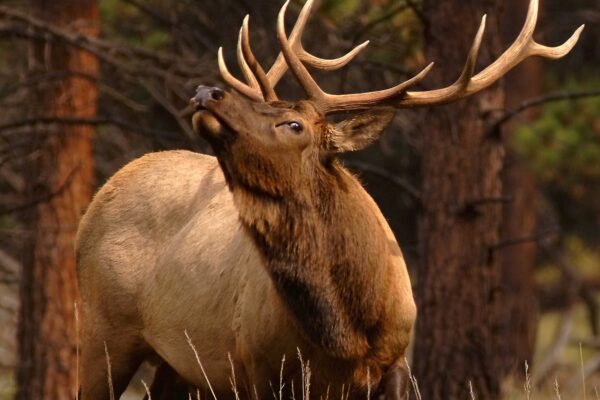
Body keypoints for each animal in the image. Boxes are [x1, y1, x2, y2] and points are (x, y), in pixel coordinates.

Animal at [75, 0, 582, 399]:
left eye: (293, 124)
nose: (207, 91)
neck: (347, 331)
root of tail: (96, 201)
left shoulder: (396, 365)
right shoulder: (255, 368)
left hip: (175, 368)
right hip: (104, 330)